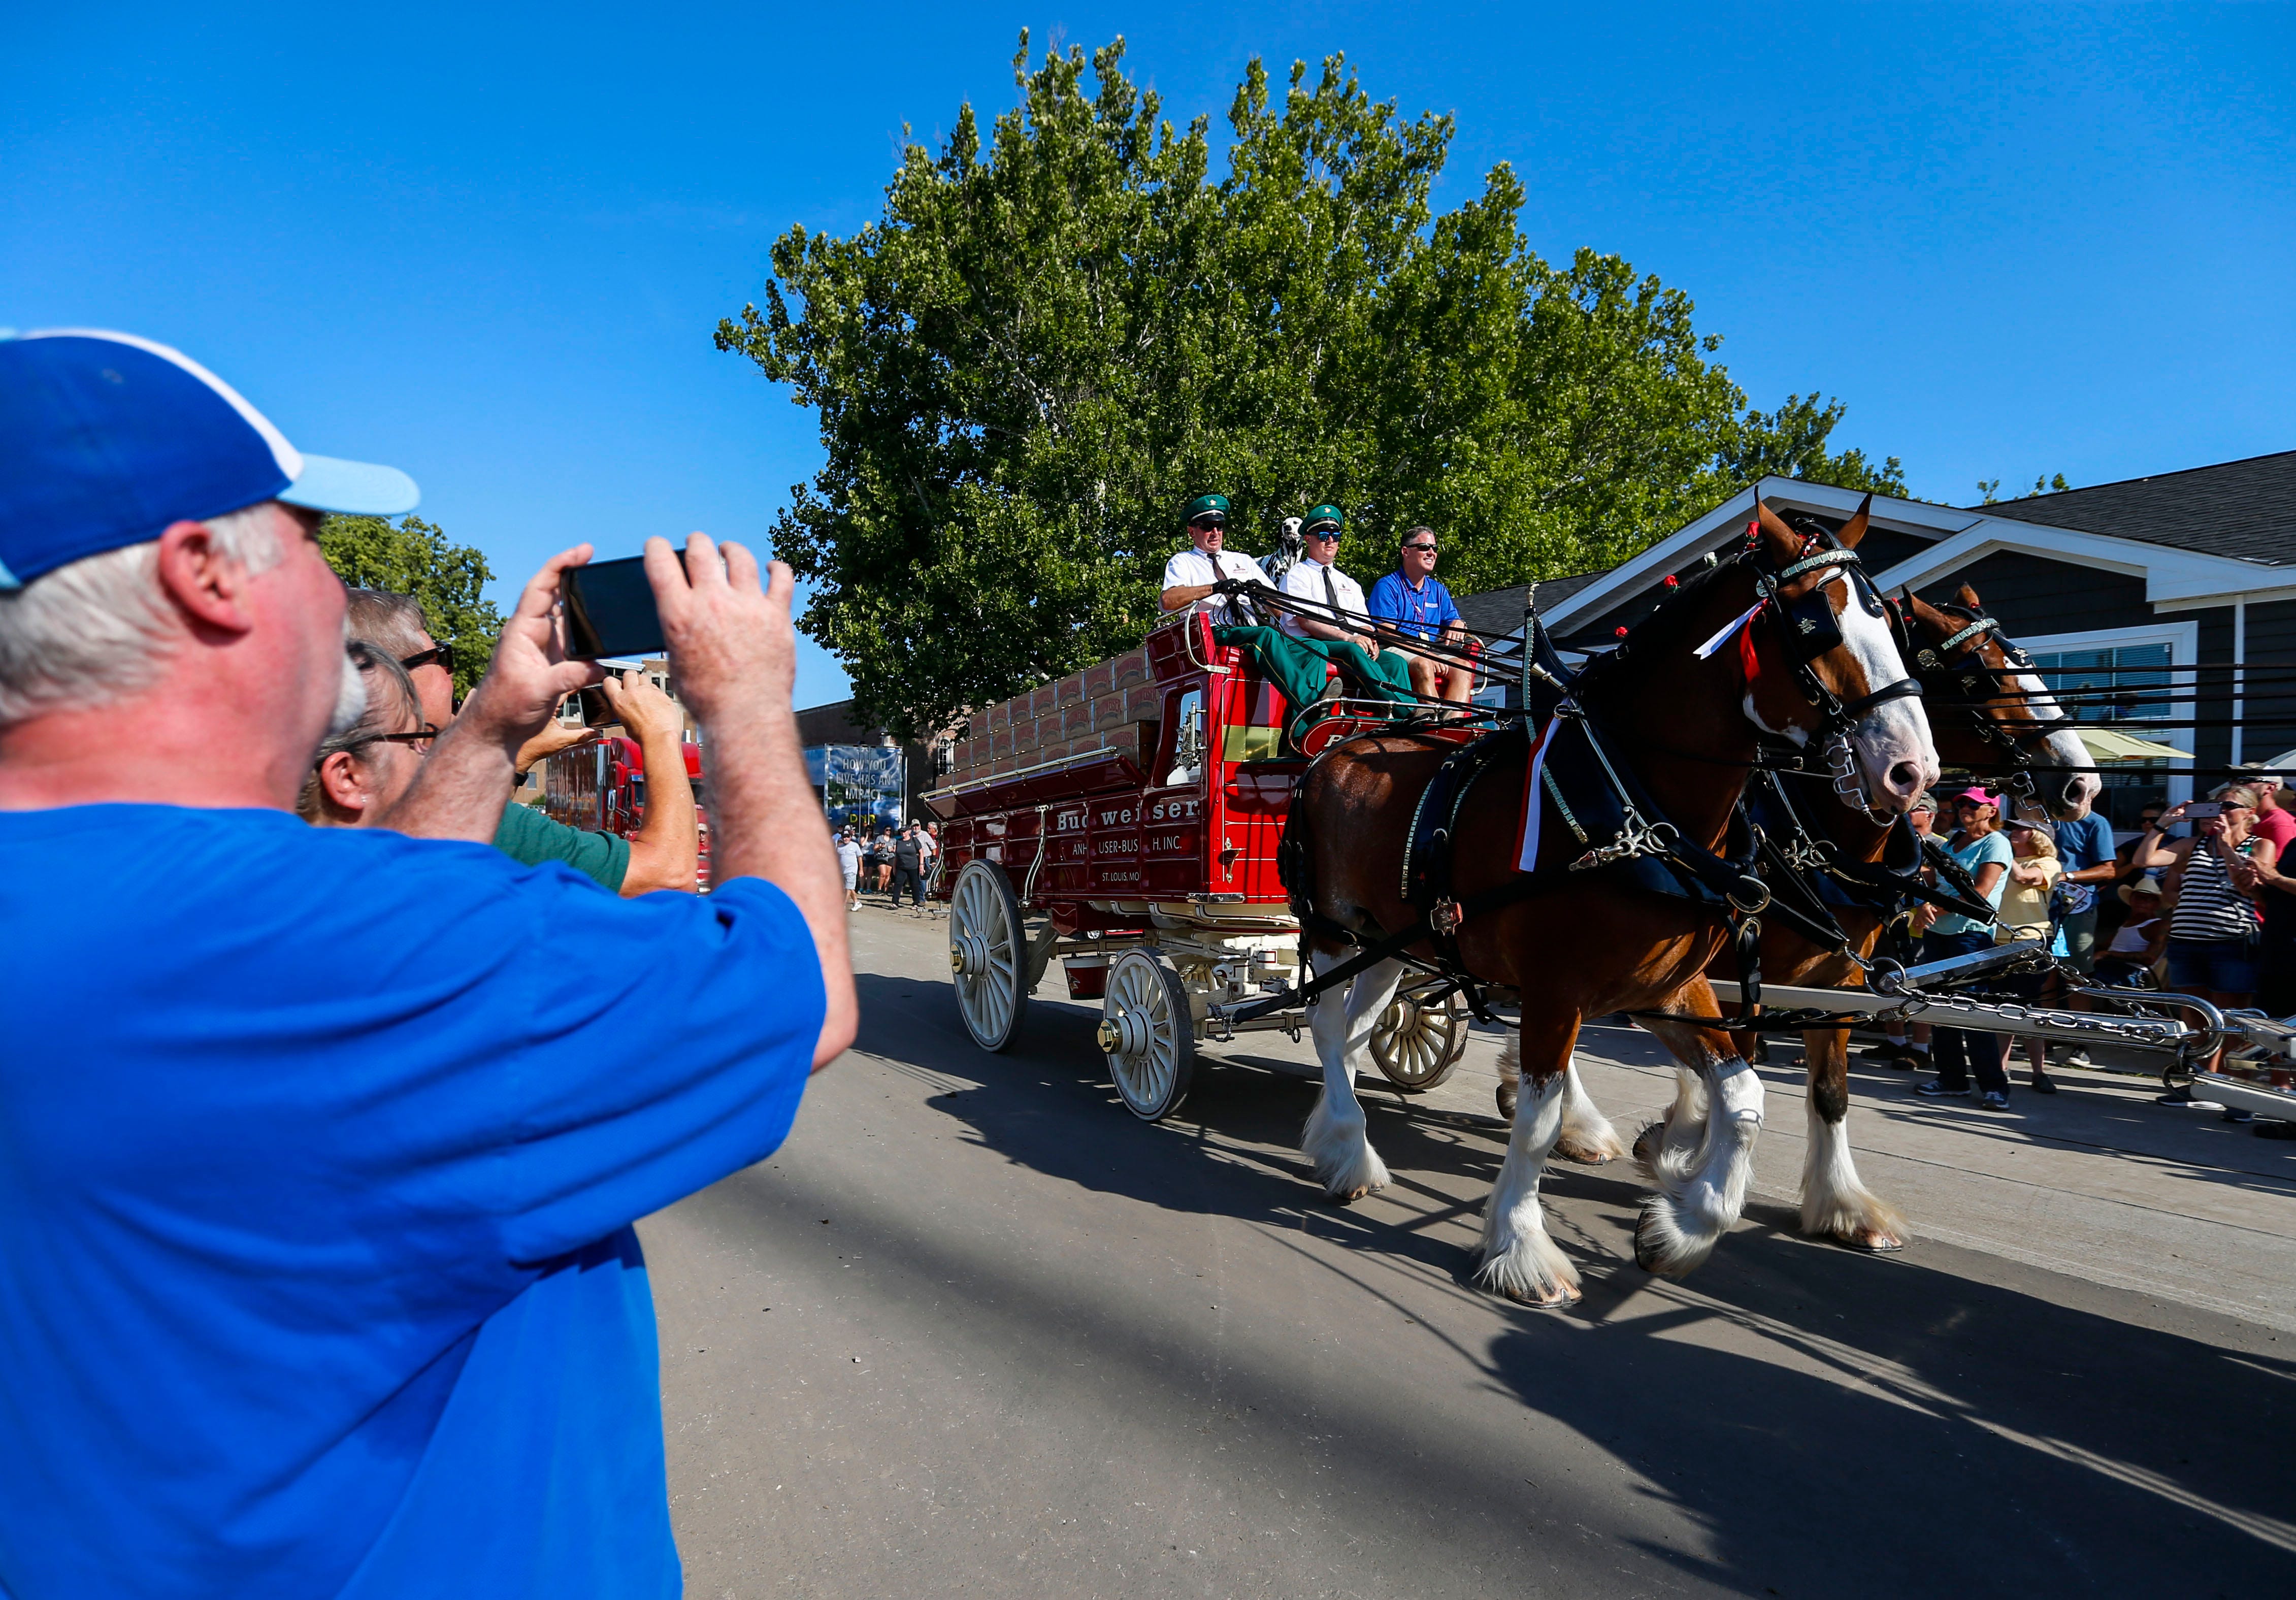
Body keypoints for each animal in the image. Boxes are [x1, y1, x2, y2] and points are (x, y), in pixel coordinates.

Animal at [1295, 505, 1938, 1303]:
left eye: (1894, 627)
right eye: (1816, 625)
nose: (1914, 771)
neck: (1633, 807)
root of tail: (1337, 744)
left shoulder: (1680, 983)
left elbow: (1749, 1096)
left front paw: (1681, 1221)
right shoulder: (1556, 988)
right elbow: (1536, 1120)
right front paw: (1522, 1246)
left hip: (1392, 942)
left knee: (1354, 1031)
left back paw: (1338, 1135)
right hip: (1331, 926)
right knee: (1325, 1024)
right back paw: (1349, 1149)